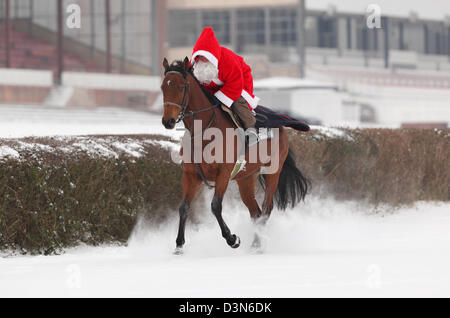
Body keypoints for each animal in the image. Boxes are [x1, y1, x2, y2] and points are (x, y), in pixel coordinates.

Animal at [160, 57, 308, 253]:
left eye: (181, 87)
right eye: (163, 87)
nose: (167, 121)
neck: (204, 130)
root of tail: (282, 127)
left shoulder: (223, 172)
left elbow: (215, 206)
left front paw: (232, 239)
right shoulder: (190, 174)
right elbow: (184, 207)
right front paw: (179, 245)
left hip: (273, 172)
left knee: (266, 209)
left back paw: (257, 244)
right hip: (245, 178)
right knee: (255, 212)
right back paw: (256, 243)